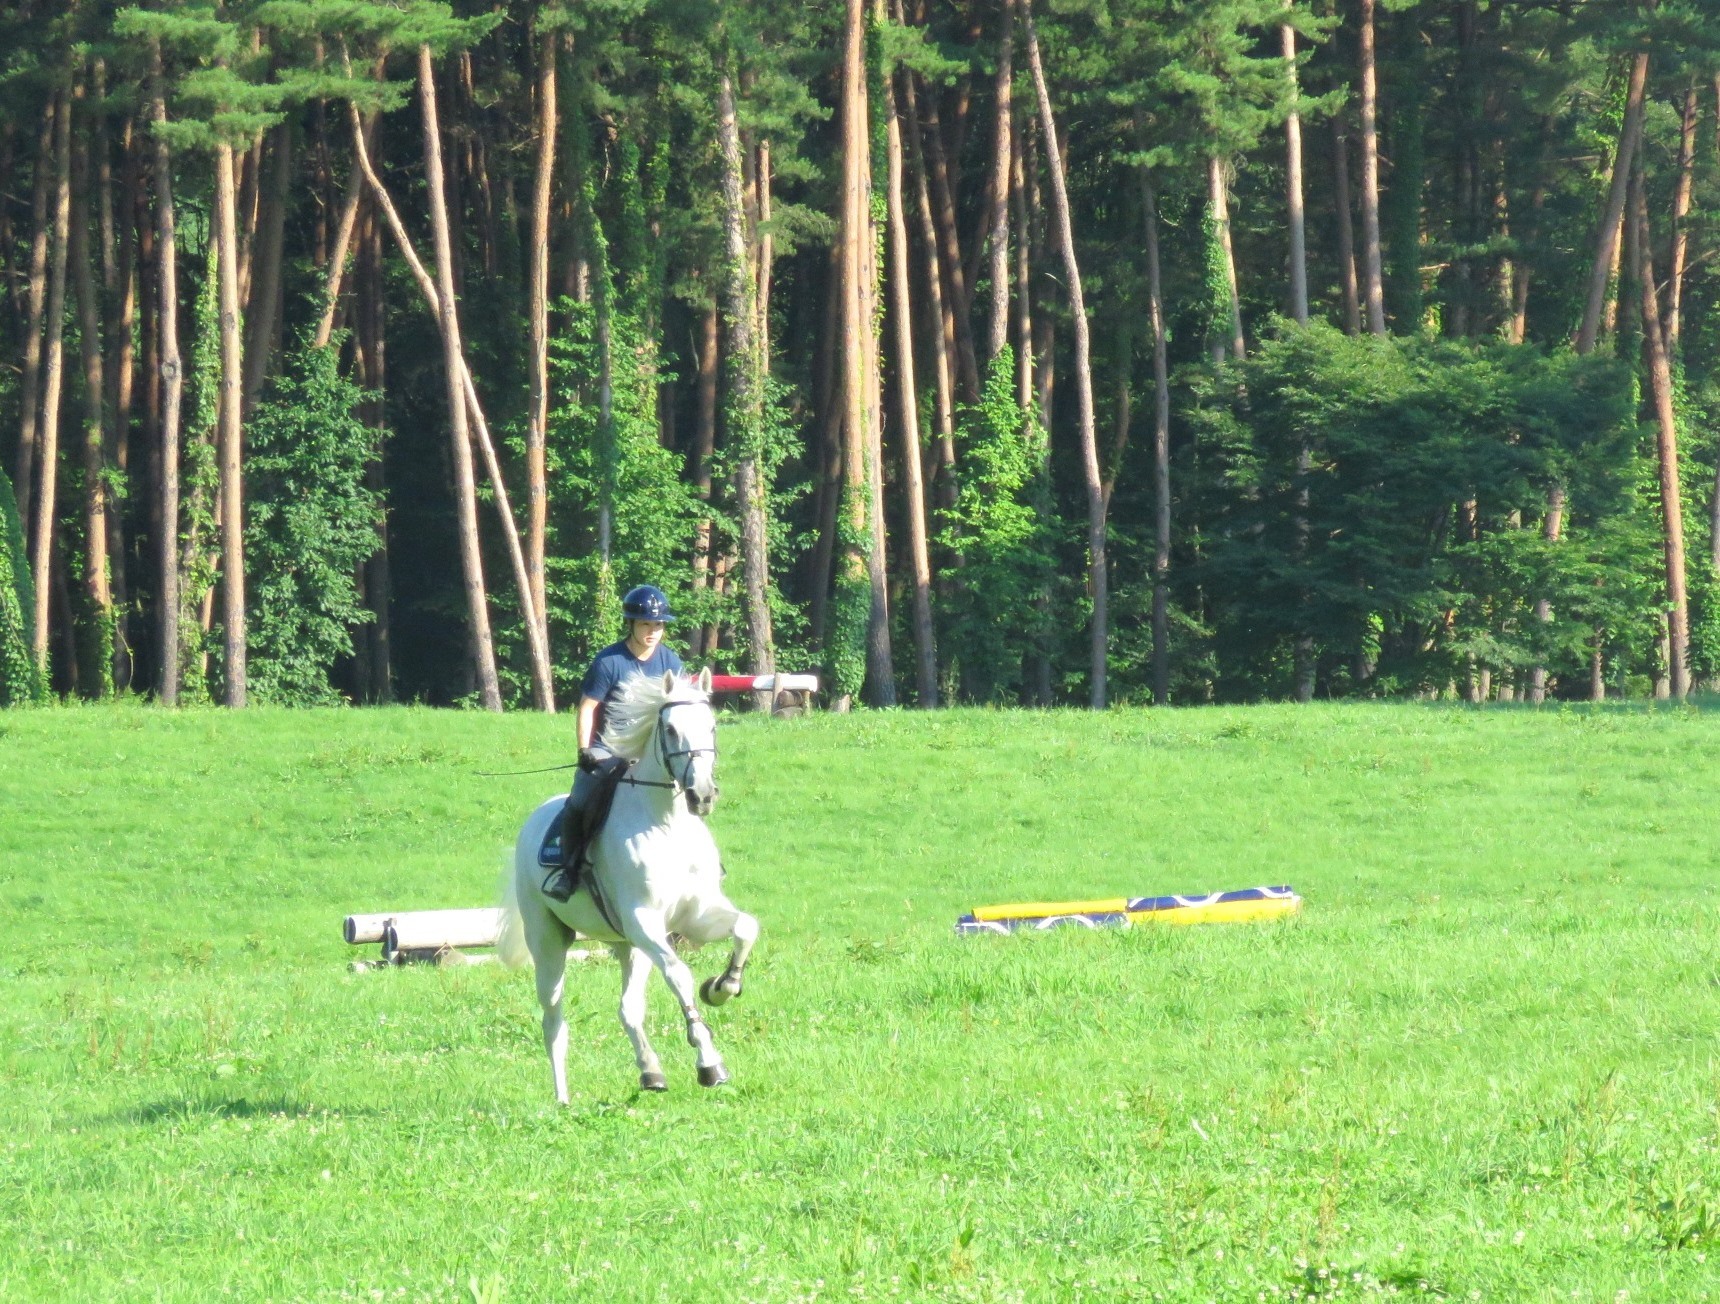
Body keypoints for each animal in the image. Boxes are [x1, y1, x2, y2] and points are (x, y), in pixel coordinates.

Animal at [502, 674, 763, 1101]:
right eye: (670, 729)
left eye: (711, 726)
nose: (703, 795)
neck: (668, 826)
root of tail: (532, 822)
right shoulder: (645, 920)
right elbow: (679, 975)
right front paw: (709, 1062)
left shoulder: (696, 914)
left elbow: (745, 928)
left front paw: (722, 987)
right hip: (550, 942)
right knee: (554, 1019)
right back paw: (562, 1100)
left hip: (629, 946)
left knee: (628, 1009)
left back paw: (651, 1072)